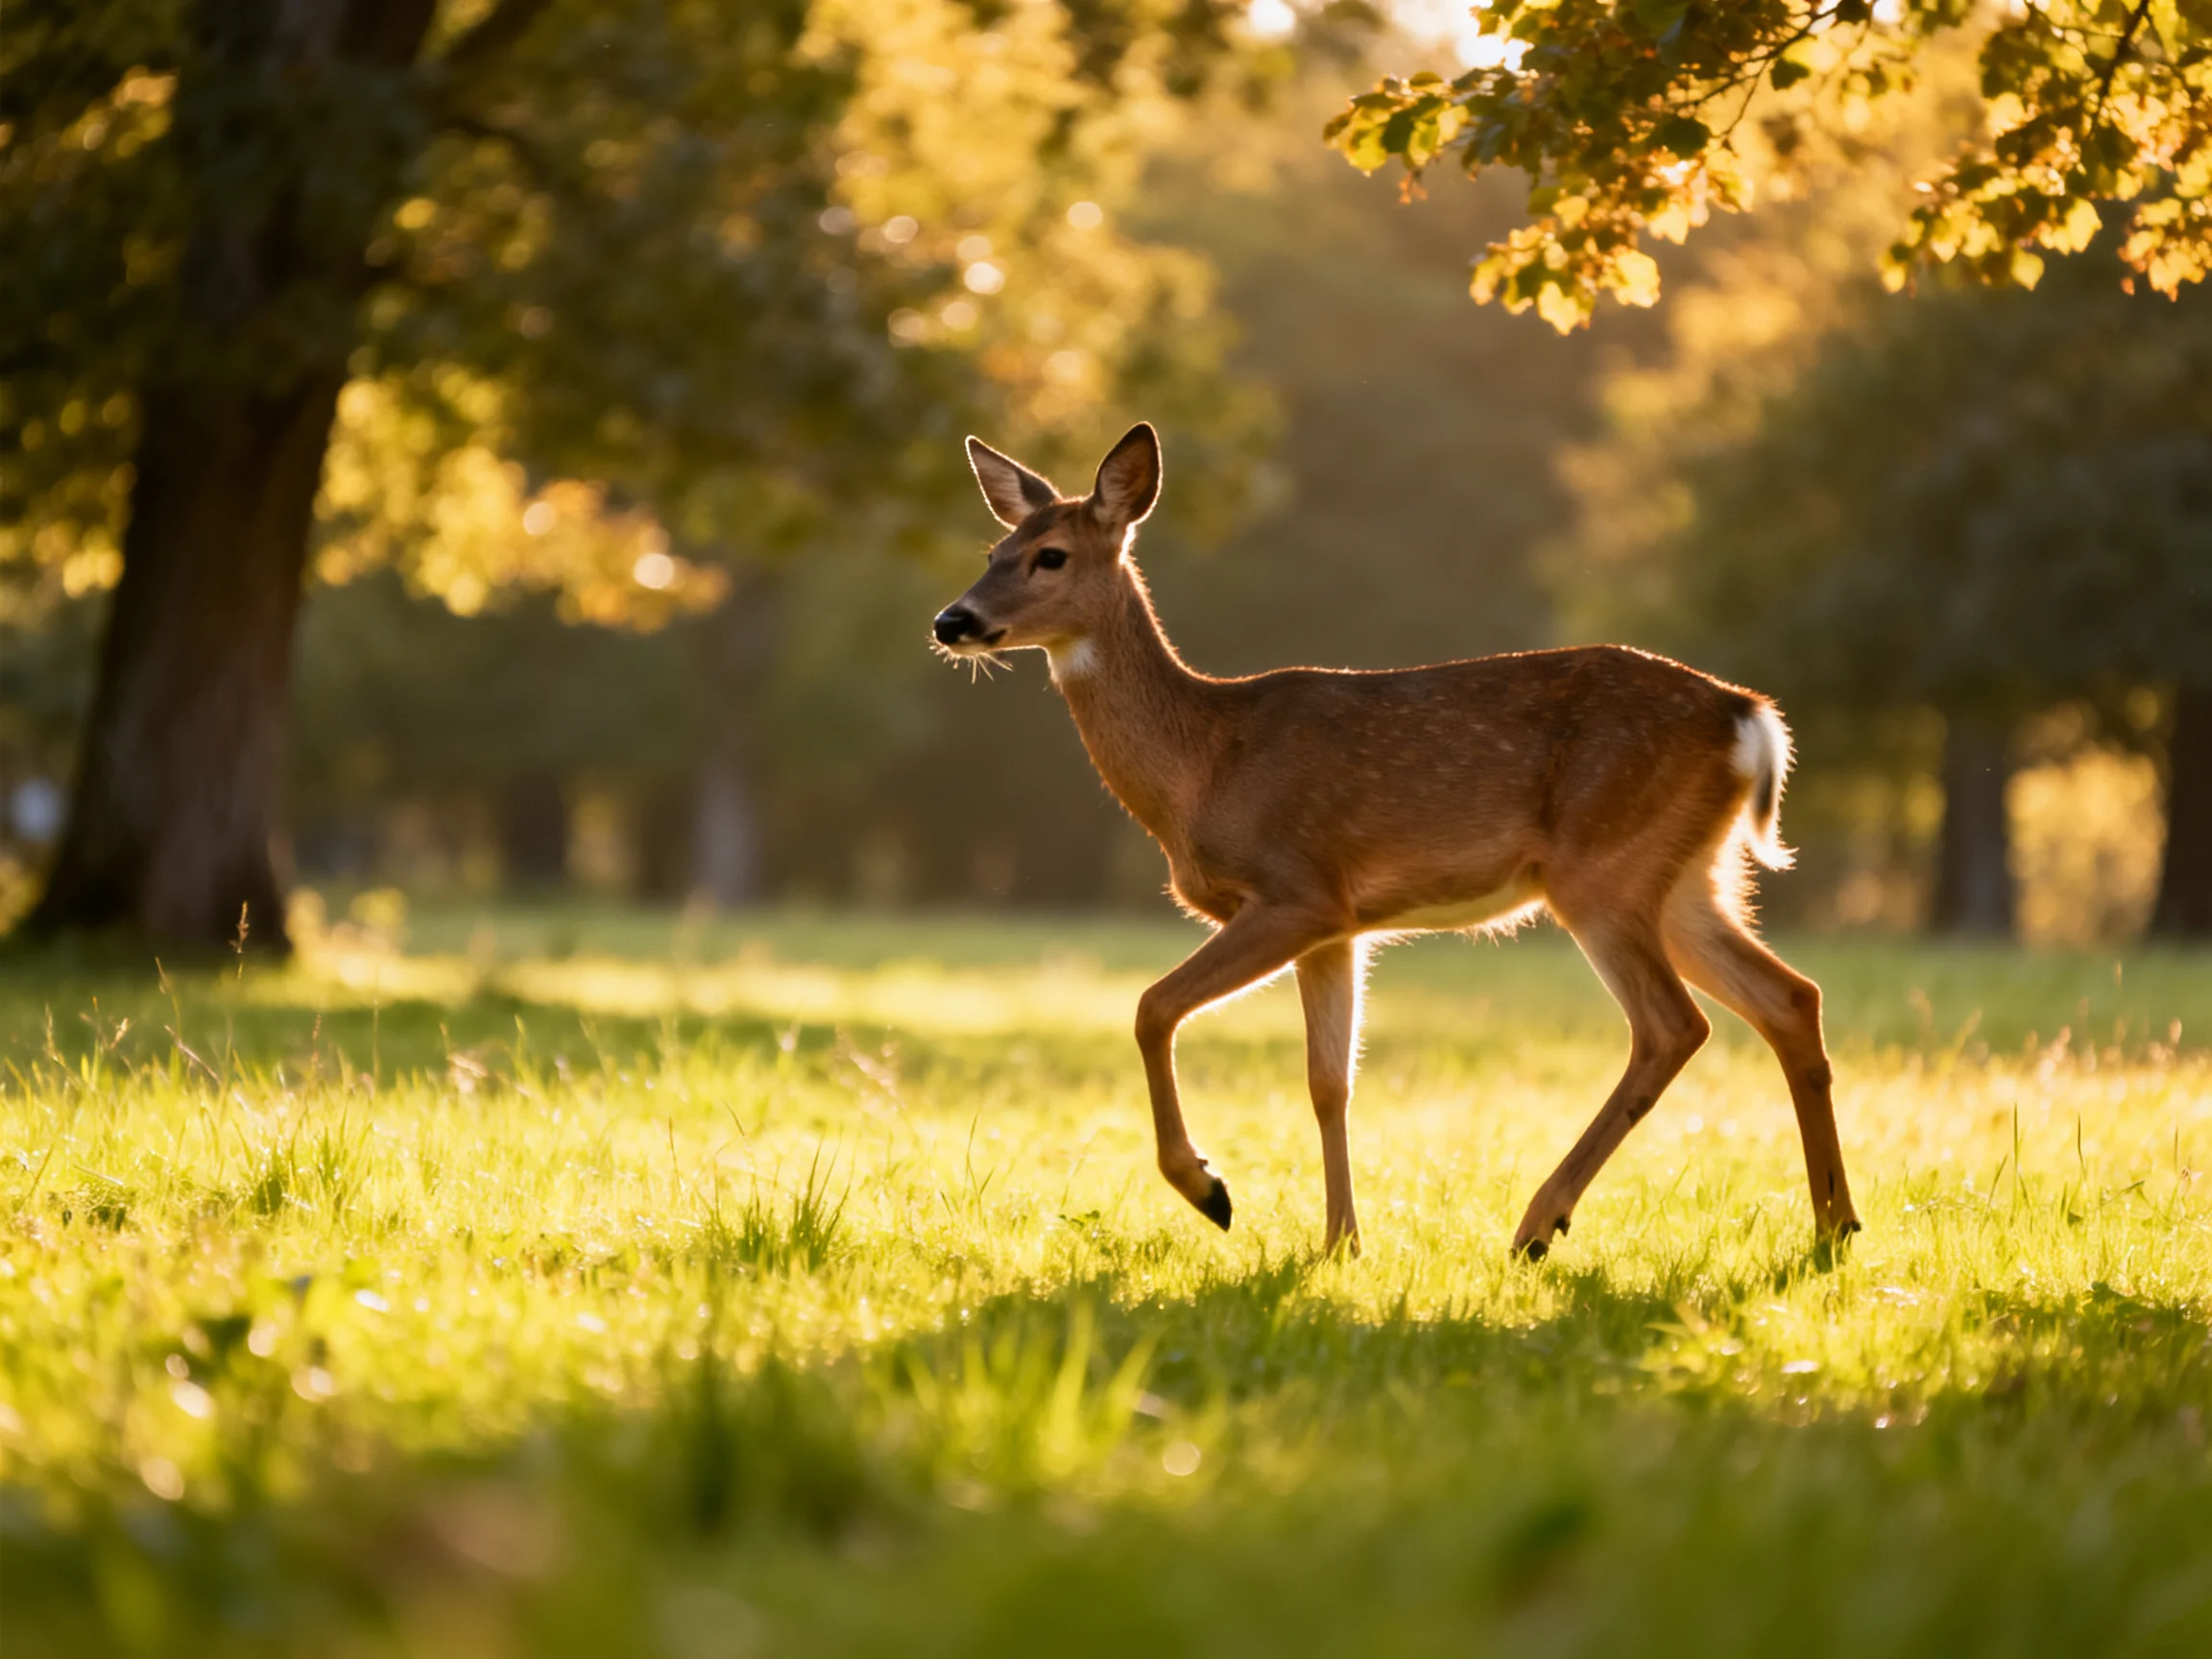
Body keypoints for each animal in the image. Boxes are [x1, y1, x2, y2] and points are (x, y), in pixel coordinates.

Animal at [929, 422, 1861, 1259]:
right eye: (992, 548)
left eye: (1050, 555)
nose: (952, 620)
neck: (1205, 763)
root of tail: (1747, 717)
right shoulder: (1338, 929)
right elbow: (1328, 1081)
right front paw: (1341, 1242)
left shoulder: (1298, 891)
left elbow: (1151, 1006)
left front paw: (1209, 1189)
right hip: (1688, 876)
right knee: (1791, 997)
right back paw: (1834, 1227)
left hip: (1605, 868)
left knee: (1674, 1026)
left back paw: (1538, 1224)